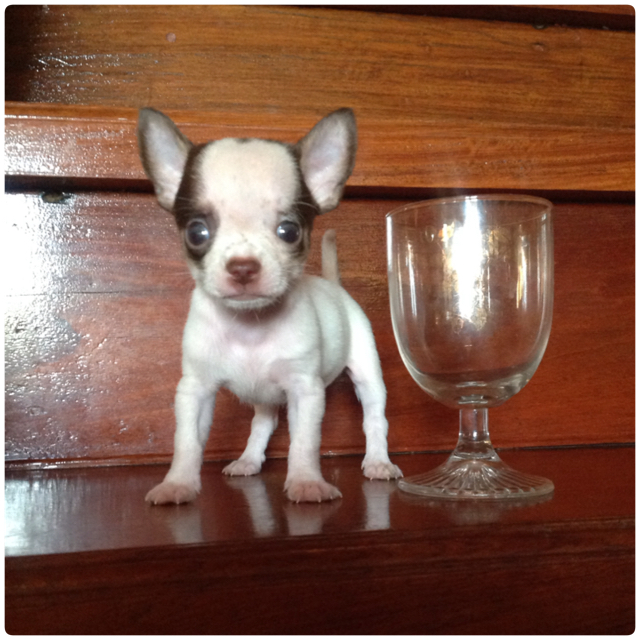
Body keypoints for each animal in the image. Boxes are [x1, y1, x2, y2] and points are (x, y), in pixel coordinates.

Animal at [137, 107, 402, 504]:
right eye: (197, 232)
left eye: (289, 231)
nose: (243, 266)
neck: (250, 327)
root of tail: (334, 285)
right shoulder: (195, 389)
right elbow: (186, 441)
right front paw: (178, 484)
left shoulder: (304, 390)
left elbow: (304, 442)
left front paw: (306, 482)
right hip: (263, 396)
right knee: (263, 422)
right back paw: (248, 460)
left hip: (367, 374)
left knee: (374, 418)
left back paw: (378, 462)